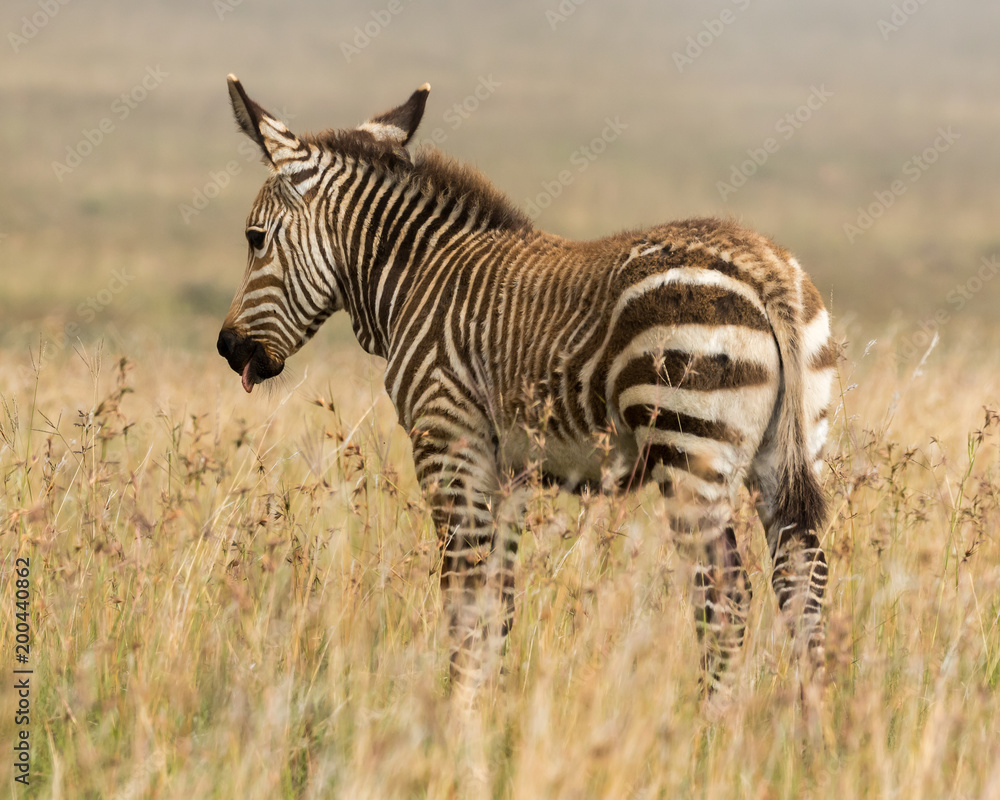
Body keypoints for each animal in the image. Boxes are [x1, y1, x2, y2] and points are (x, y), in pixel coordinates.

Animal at [217, 75, 836, 693]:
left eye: (254, 237)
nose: (227, 348)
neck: (418, 273)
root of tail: (765, 269)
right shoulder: (507, 472)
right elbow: (499, 603)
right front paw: (489, 703)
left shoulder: (447, 442)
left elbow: (463, 598)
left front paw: (457, 707)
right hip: (788, 452)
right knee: (803, 588)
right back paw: (812, 718)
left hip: (689, 449)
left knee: (726, 601)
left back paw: (716, 719)